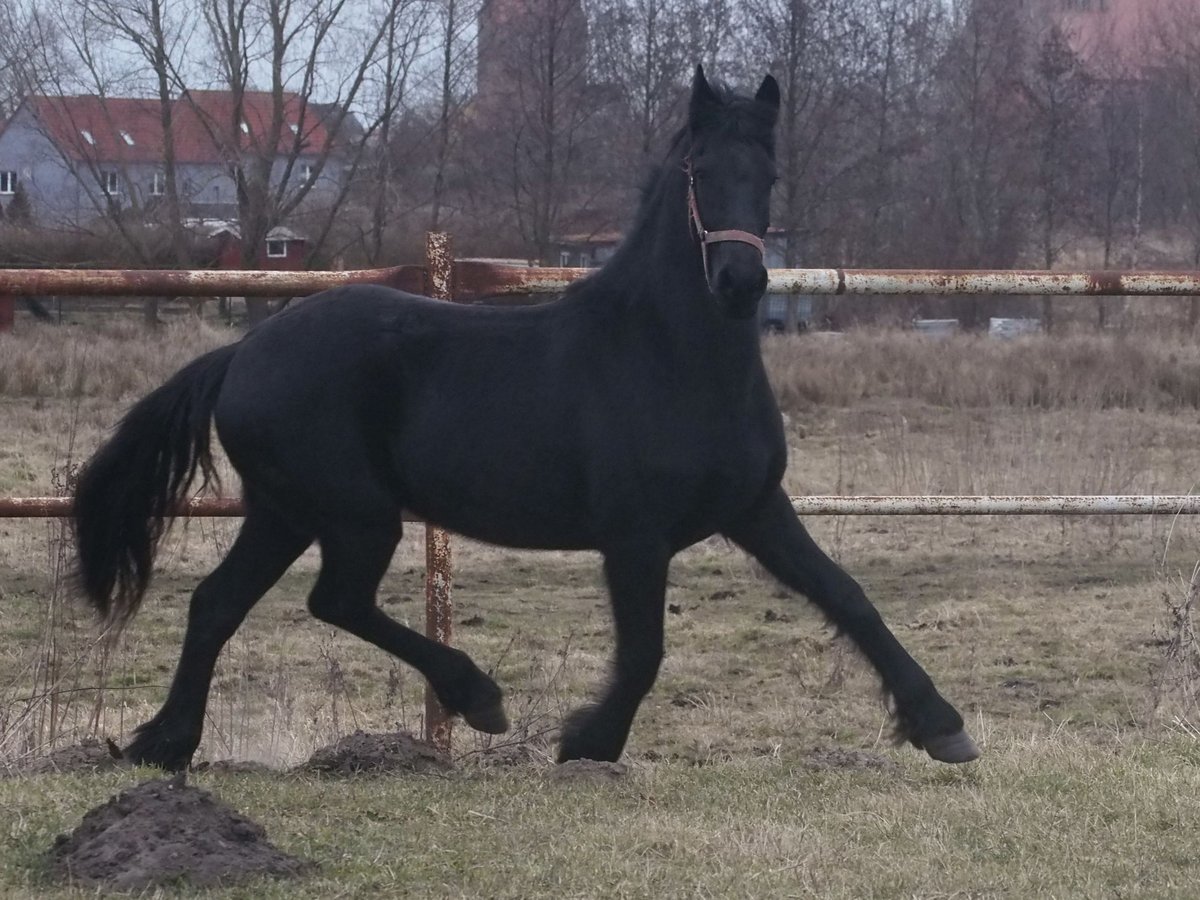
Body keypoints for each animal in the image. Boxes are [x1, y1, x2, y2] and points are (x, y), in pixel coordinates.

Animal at [72, 68, 974, 777]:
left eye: (769, 172)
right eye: (700, 169)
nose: (741, 281)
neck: (668, 358)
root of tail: (243, 352)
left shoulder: (756, 509)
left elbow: (848, 596)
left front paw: (942, 727)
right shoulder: (634, 534)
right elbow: (644, 651)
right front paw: (588, 743)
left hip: (285, 512)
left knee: (217, 605)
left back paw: (164, 743)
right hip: (353, 514)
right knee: (334, 600)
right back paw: (477, 697)